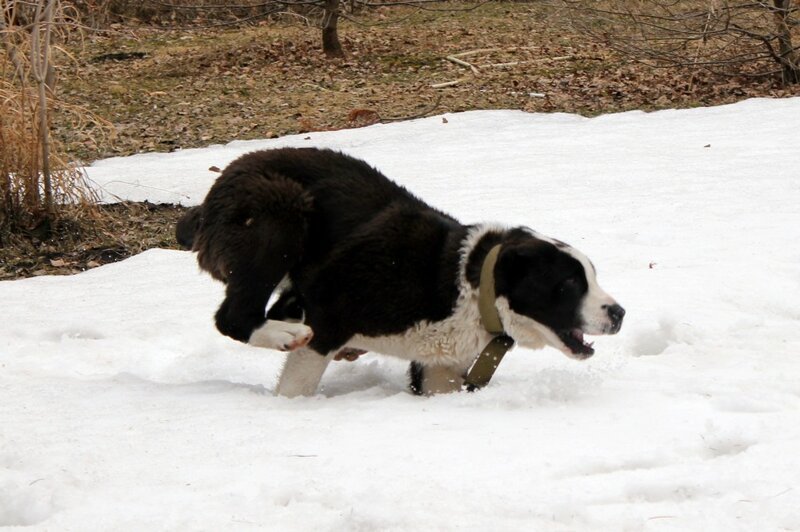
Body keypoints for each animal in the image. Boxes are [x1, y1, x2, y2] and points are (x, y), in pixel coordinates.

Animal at [177, 148, 624, 396]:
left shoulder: (440, 368)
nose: (619, 312)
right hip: (280, 213)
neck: (463, 283)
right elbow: (295, 389)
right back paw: (284, 334)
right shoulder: (329, 309)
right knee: (234, 317)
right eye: (569, 283)